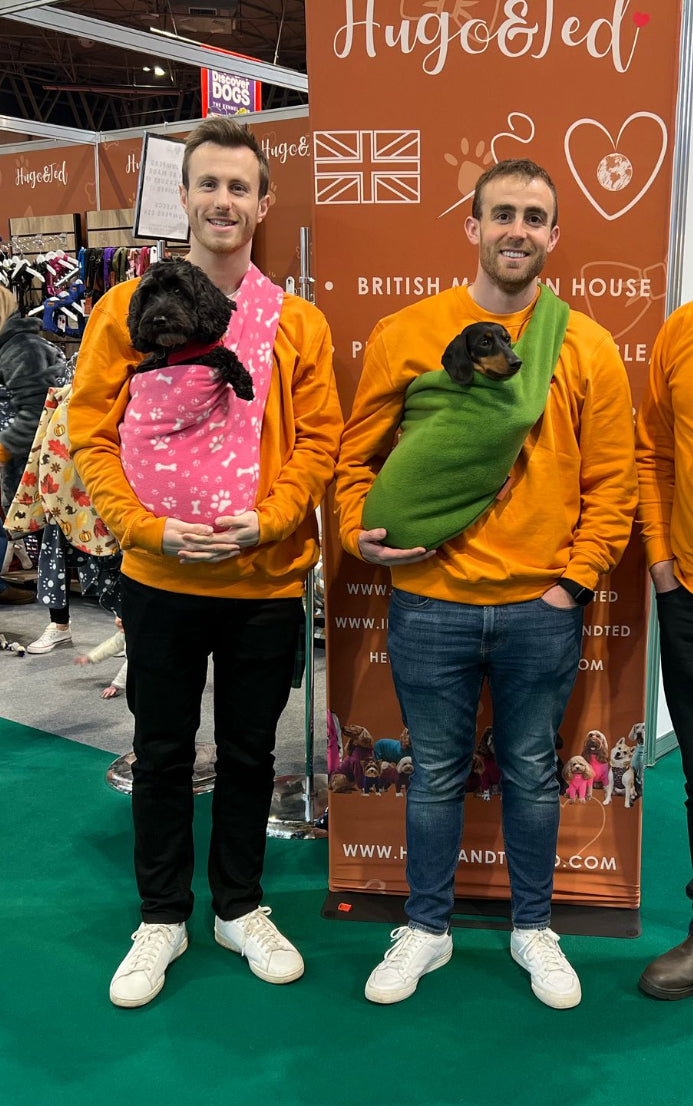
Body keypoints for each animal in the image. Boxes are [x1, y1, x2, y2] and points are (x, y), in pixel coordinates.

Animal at [125, 256, 253, 400]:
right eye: (148, 295)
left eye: (178, 291)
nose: (158, 320)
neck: (177, 348)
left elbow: (218, 353)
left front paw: (243, 381)